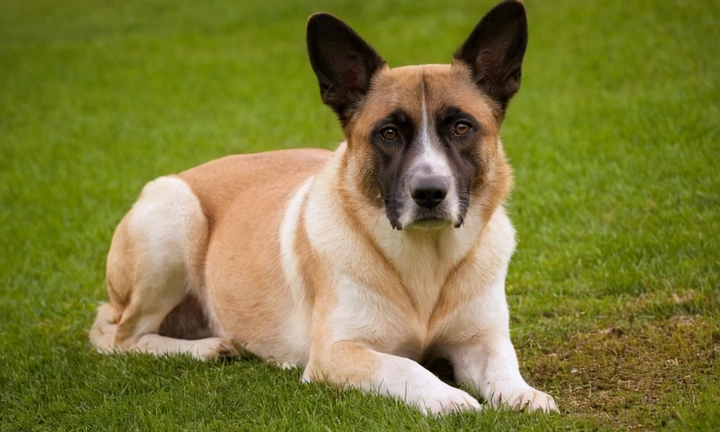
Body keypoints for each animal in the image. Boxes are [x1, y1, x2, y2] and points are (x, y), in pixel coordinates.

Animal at [90, 1, 560, 416]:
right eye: (388, 133)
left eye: (462, 127)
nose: (429, 192)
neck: (426, 260)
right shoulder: (338, 352)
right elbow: (404, 366)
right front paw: (447, 398)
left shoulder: (482, 340)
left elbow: (504, 364)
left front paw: (523, 394)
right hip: (174, 214)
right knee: (120, 336)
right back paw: (207, 347)